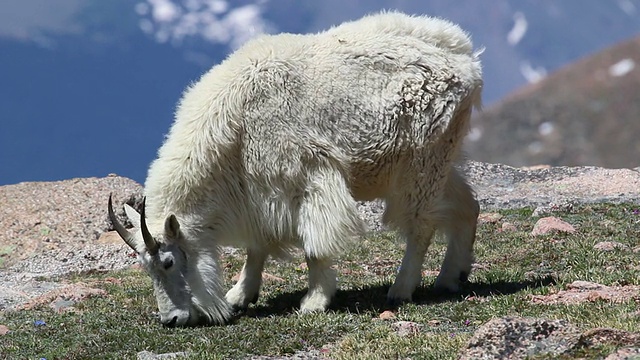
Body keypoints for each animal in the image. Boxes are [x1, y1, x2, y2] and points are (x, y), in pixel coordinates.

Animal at [107, 11, 482, 326]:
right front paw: (240, 295)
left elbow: (314, 244)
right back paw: (451, 277)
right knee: (467, 205)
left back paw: (402, 288)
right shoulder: (259, 193)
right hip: (439, 157)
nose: (172, 320)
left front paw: (314, 301)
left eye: (168, 262)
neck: (233, 124)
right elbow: (256, 248)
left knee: (421, 224)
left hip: (422, 159)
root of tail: (468, 62)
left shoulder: (309, 176)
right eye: (144, 267)